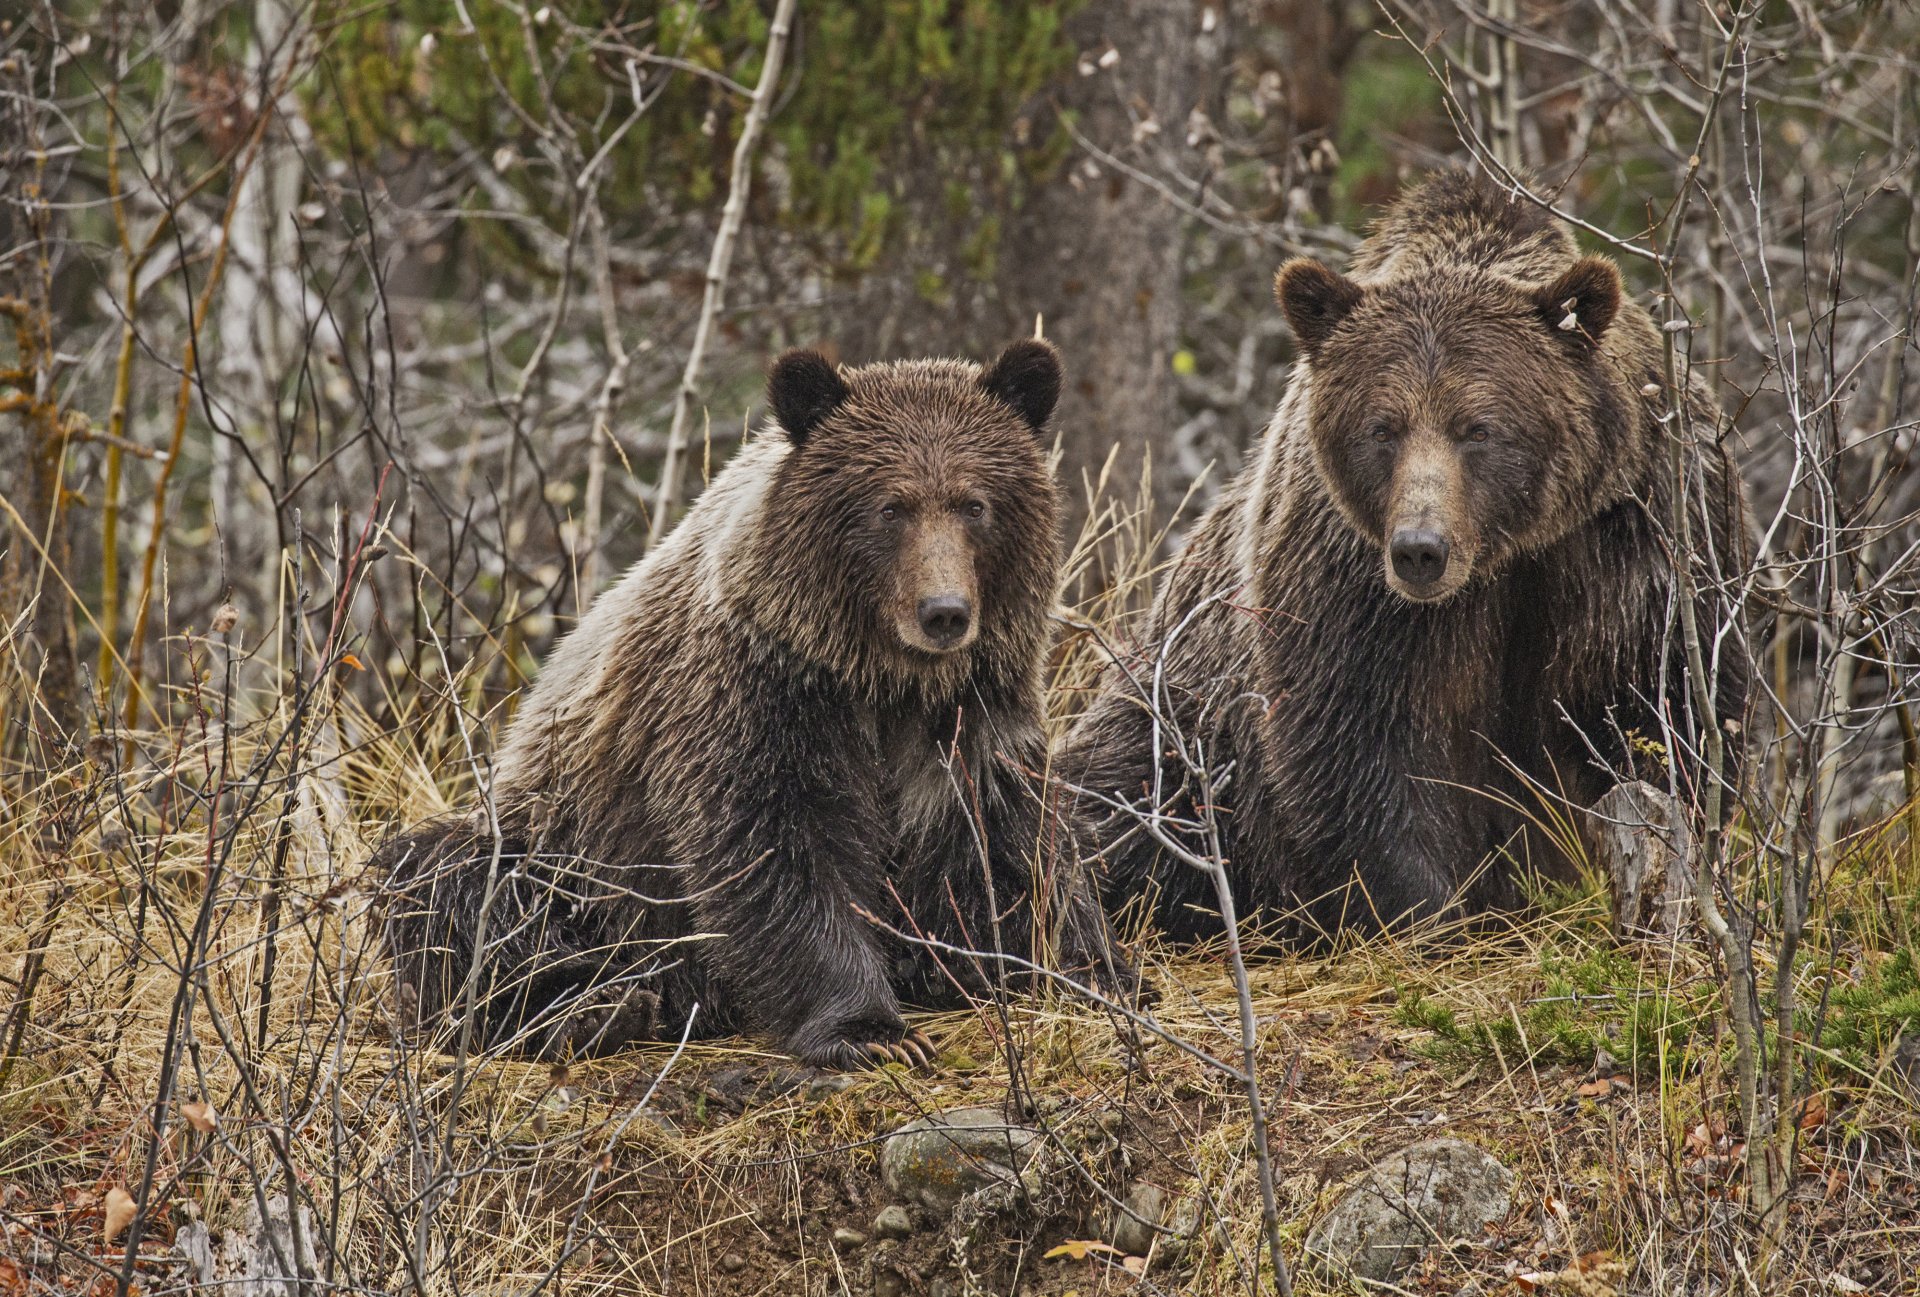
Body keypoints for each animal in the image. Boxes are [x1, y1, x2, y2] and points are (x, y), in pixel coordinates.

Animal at [377, 340, 1128, 1066]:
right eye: (891, 507)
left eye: (975, 504)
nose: (944, 612)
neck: (882, 678)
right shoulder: (759, 693)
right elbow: (776, 845)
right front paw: (870, 1029)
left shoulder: (972, 712)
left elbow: (1009, 840)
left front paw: (1088, 965)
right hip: (567, 857)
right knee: (449, 884)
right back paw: (585, 1011)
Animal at [1060, 171, 1751, 941]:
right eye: (1381, 427)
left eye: (1479, 427)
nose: (1421, 549)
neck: (1505, 554)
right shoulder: (1348, 574)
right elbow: (1364, 741)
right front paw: (1427, 911)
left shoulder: (1635, 534)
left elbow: (1661, 705)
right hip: (1179, 719)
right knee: (1118, 800)